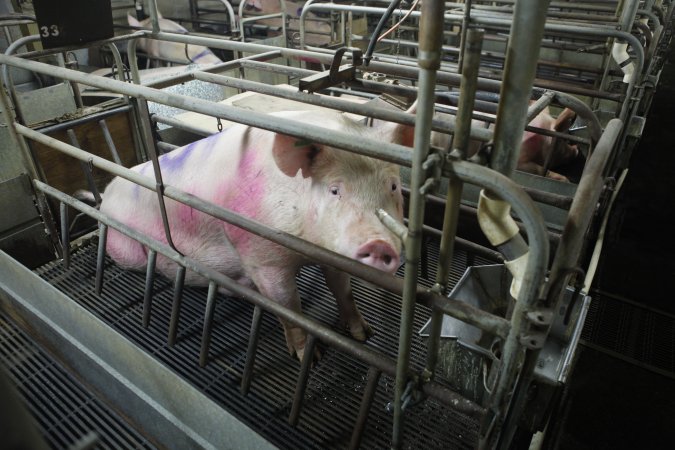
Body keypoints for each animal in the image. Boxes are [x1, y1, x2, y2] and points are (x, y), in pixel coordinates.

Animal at [97, 109, 414, 362]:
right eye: (335, 190)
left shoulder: (333, 252)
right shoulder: (262, 257)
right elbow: (290, 308)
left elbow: (342, 290)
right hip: (126, 248)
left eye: (393, 186)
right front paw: (309, 359)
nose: (380, 243)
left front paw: (364, 334)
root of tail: (106, 193)